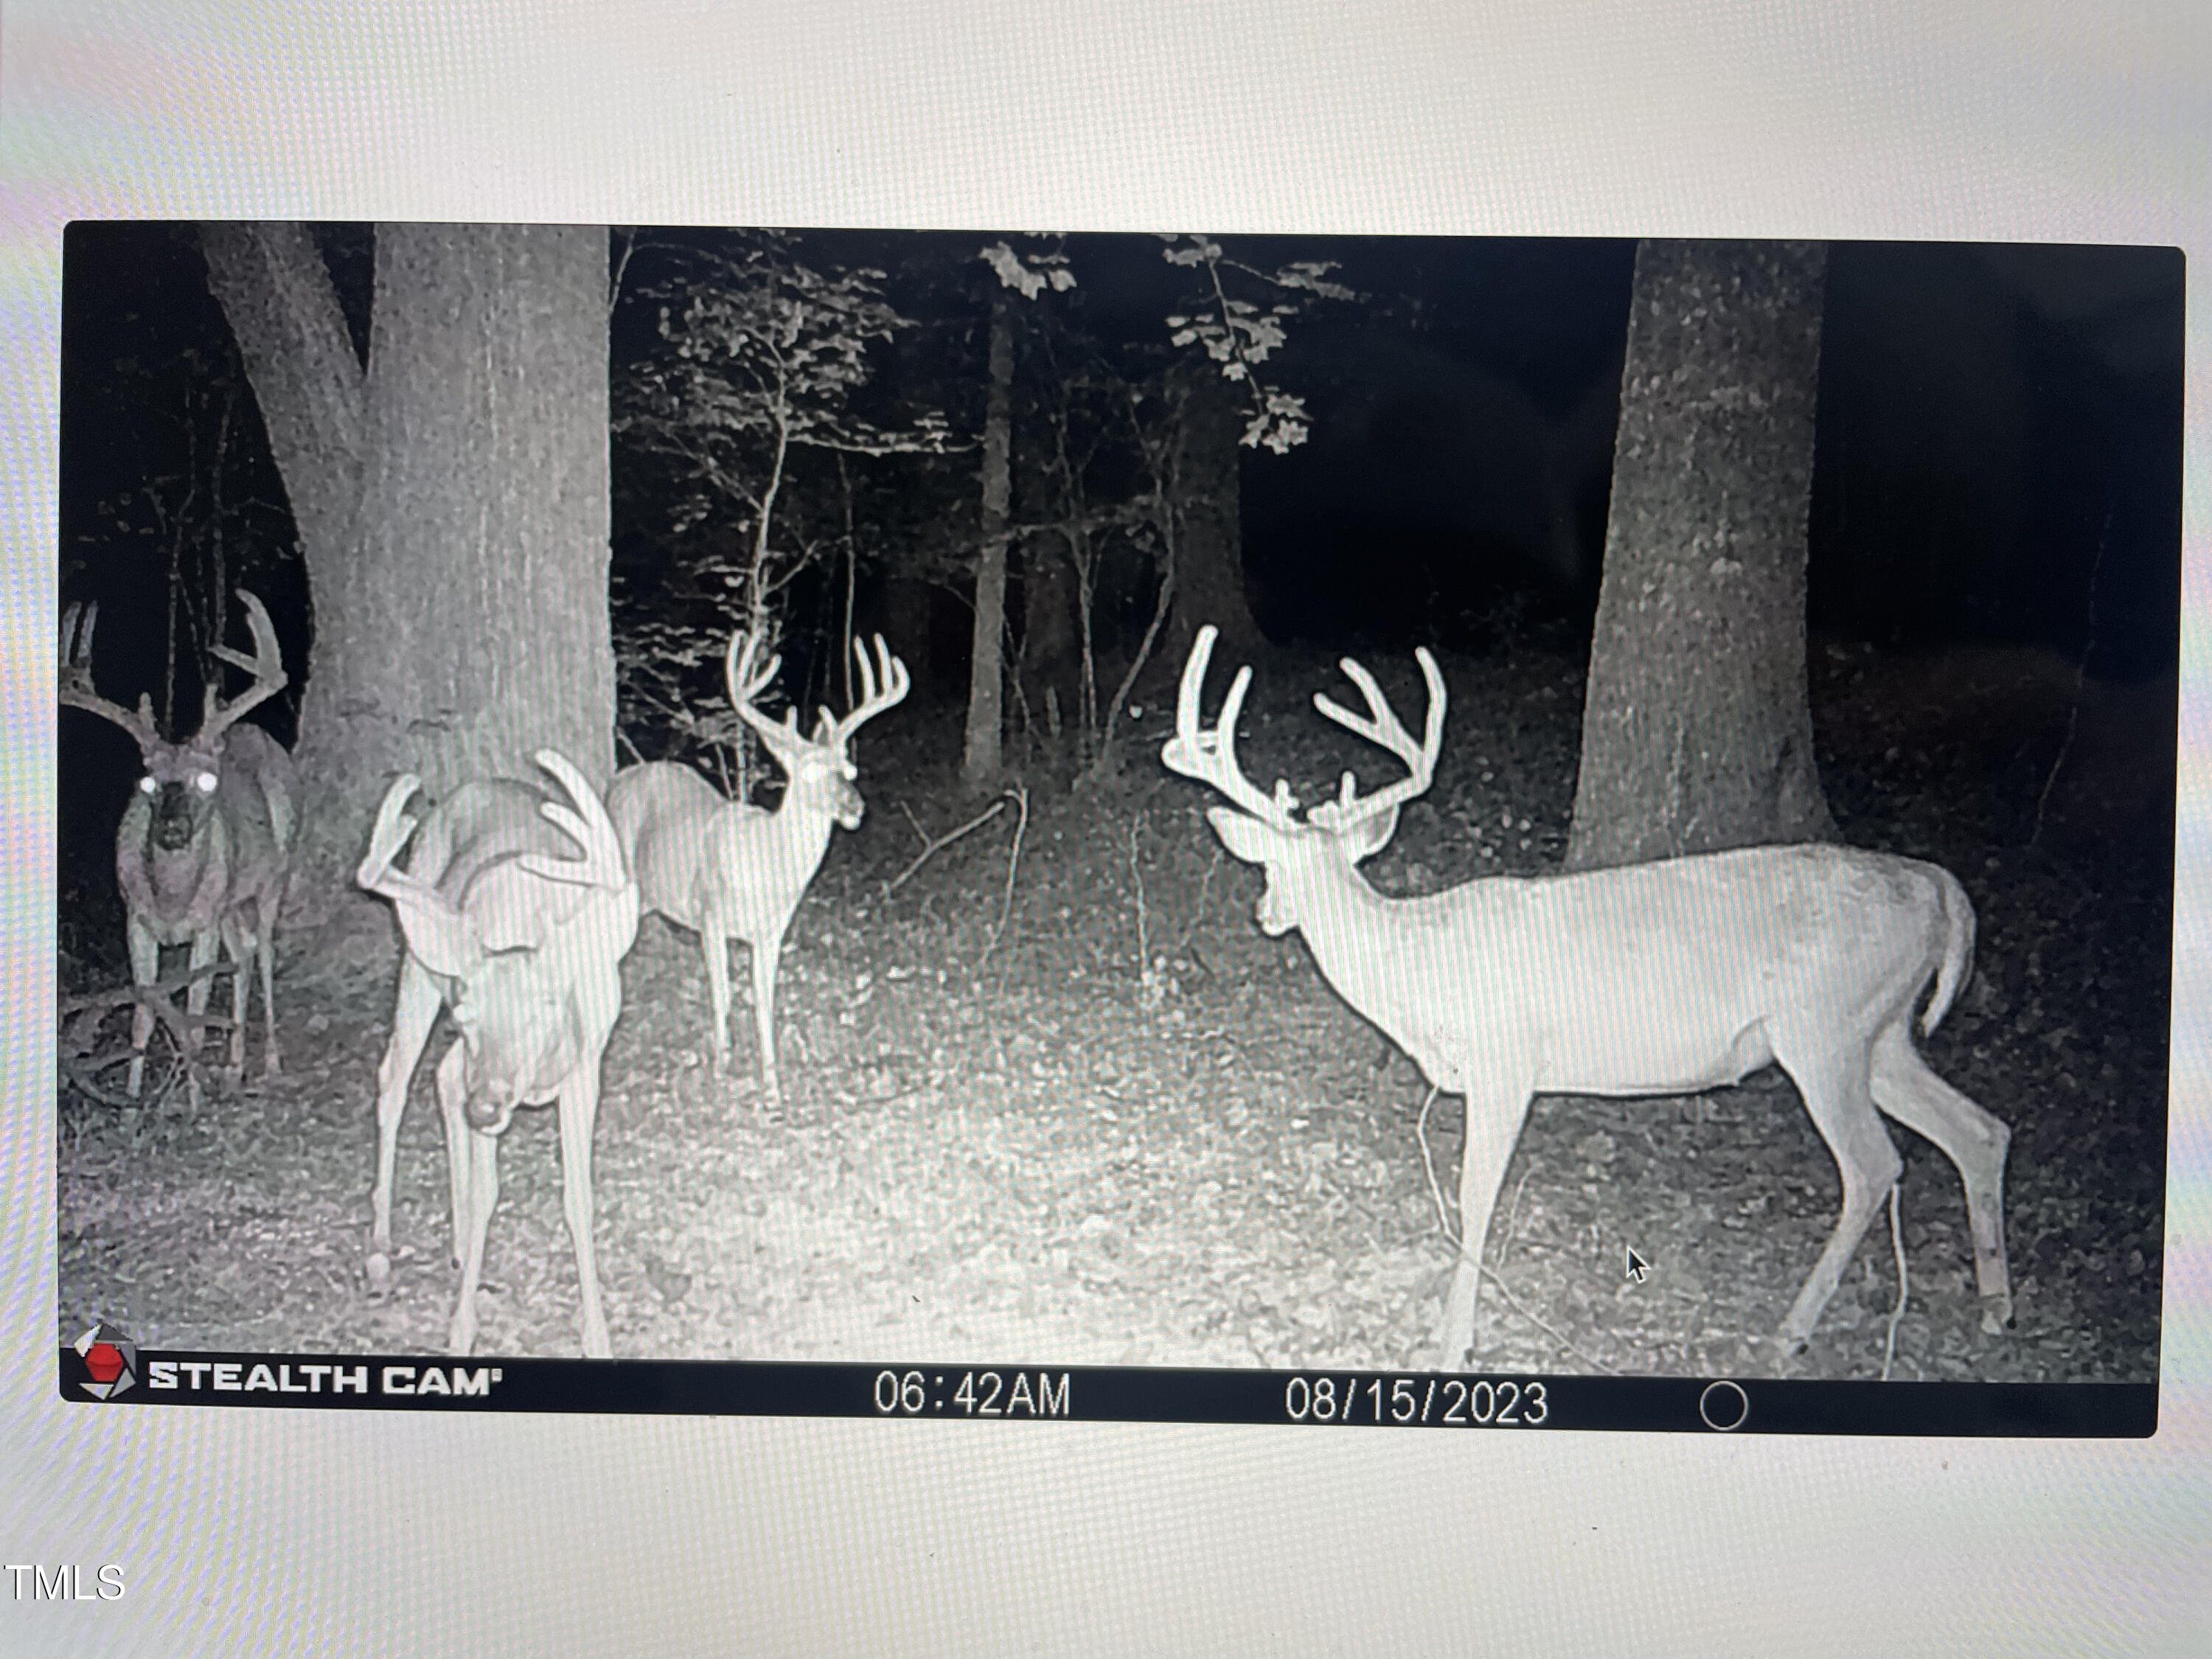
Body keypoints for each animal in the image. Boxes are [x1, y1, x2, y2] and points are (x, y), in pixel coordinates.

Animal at [59, 589, 296, 1099]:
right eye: (147, 780)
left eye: (206, 780)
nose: (171, 830)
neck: (171, 899)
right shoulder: (136, 919)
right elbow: (144, 1014)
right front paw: (131, 1099)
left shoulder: (203, 923)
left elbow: (193, 1014)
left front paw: (191, 1099)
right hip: (230, 902)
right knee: (244, 957)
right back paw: (233, 1064)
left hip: (274, 875)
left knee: (266, 953)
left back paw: (269, 1061)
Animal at [356, 750, 640, 1359]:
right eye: (467, 1013)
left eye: (546, 1007)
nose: (485, 1109)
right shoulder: (474, 1055)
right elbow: (488, 1192)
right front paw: (461, 1332)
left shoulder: (587, 1065)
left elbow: (579, 1197)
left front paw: (598, 1336)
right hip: (419, 965)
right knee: (395, 1078)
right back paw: (381, 1253)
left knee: (440, 1077)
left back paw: (462, 1249)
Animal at [607, 628, 910, 1115]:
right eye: (807, 775)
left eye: (849, 769)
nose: (856, 807)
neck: (768, 869)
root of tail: (615, 780)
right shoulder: (710, 916)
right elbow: (723, 996)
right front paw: (721, 1070)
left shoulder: (772, 932)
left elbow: (765, 1002)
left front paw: (772, 1087)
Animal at [1161, 624, 2013, 1369]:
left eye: (1270, 868)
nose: (1266, 914)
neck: (1421, 970)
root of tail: (1941, 891)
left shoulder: (1507, 1064)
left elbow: (1475, 1195)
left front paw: (1453, 1341)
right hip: (1884, 1030)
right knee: (1981, 1129)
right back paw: (1996, 1308)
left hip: (1824, 1027)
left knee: (1875, 1164)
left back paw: (1790, 1331)